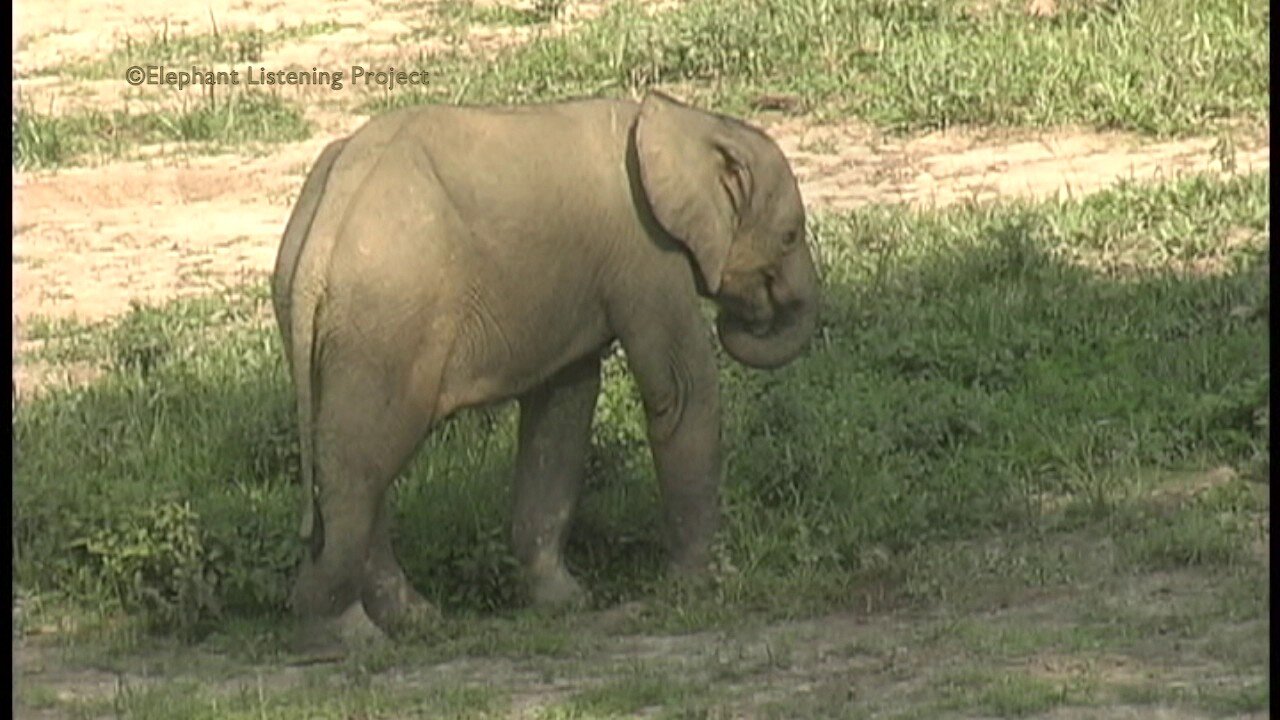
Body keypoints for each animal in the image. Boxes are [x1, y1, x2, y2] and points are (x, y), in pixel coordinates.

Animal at [272, 90, 819, 650]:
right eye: (790, 235)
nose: (742, 317)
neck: (685, 121)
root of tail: (330, 214)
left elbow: (564, 409)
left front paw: (566, 602)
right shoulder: (646, 253)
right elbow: (681, 389)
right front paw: (703, 585)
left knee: (354, 454)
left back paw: (413, 620)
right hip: (386, 315)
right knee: (362, 460)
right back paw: (347, 633)